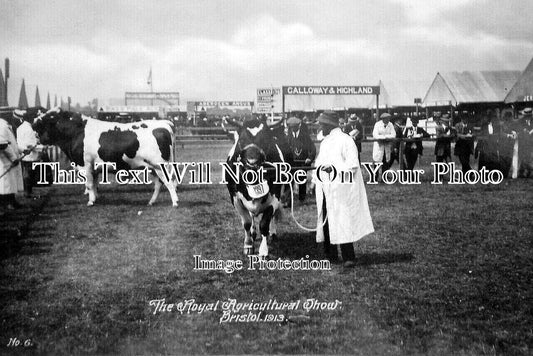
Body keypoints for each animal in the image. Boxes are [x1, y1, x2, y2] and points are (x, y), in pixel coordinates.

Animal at [30, 106, 178, 206]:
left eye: (50, 116)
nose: (33, 122)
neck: (77, 132)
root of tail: (165, 124)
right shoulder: (93, 167)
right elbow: (95, 184)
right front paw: (96, 198)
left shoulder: (85, 165)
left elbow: (89, 184)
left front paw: (90, 201)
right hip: (153, 168)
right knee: (159, 184)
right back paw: (151, 201)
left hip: (160, 166)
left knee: (169, 182)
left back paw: (175, 202)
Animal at [224, 119, 286, 256]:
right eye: (241, 140)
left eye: (266, 139)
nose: (252, 163)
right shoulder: (235, 199)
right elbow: (246, 223)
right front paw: (248, 245)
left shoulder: (275, 197)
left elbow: (264, 224)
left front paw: (263, 250)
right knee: (252, 217)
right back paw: (252, 233)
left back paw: (272, 233)